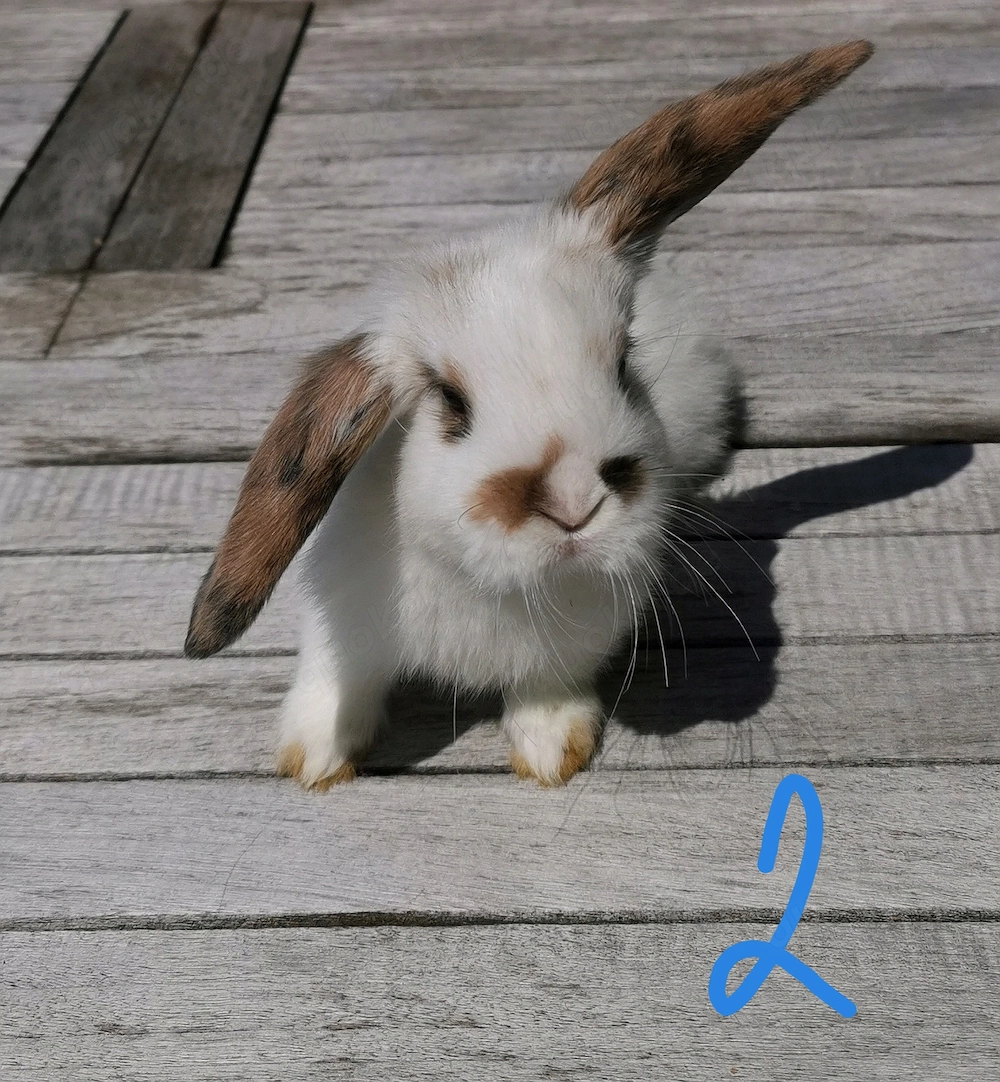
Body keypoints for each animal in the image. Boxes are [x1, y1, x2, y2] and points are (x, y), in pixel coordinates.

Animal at [184, 41, 874, 789]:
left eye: (624, 364)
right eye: (450, 401)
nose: (573, 504)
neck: (486, 583)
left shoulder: (566, 652)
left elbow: (545, 690)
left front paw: (549, 754)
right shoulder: (342, 615)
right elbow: (337, 676)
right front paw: (315, 757)